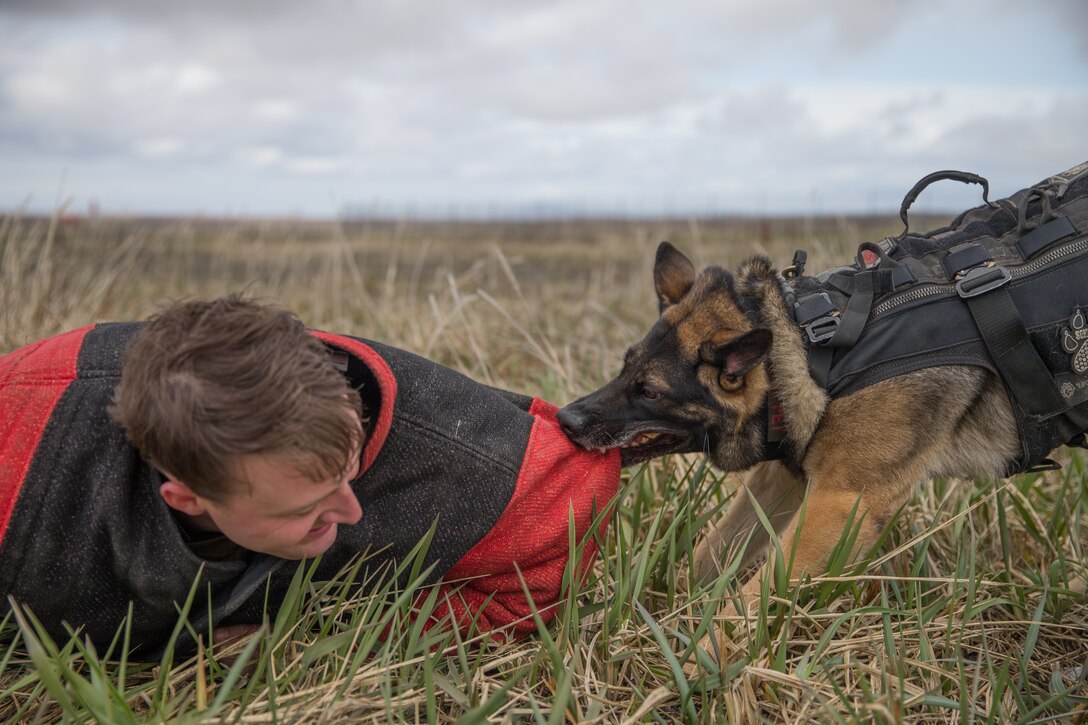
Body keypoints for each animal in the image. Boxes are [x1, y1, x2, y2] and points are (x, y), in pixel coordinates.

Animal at [561, 239, 1079, 596]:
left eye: (650, 391)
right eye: (625, 367)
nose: (566, 419)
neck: (807, 347)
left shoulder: (841, 505)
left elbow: (752, 602)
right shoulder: (783, 482)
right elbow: (711, 553)